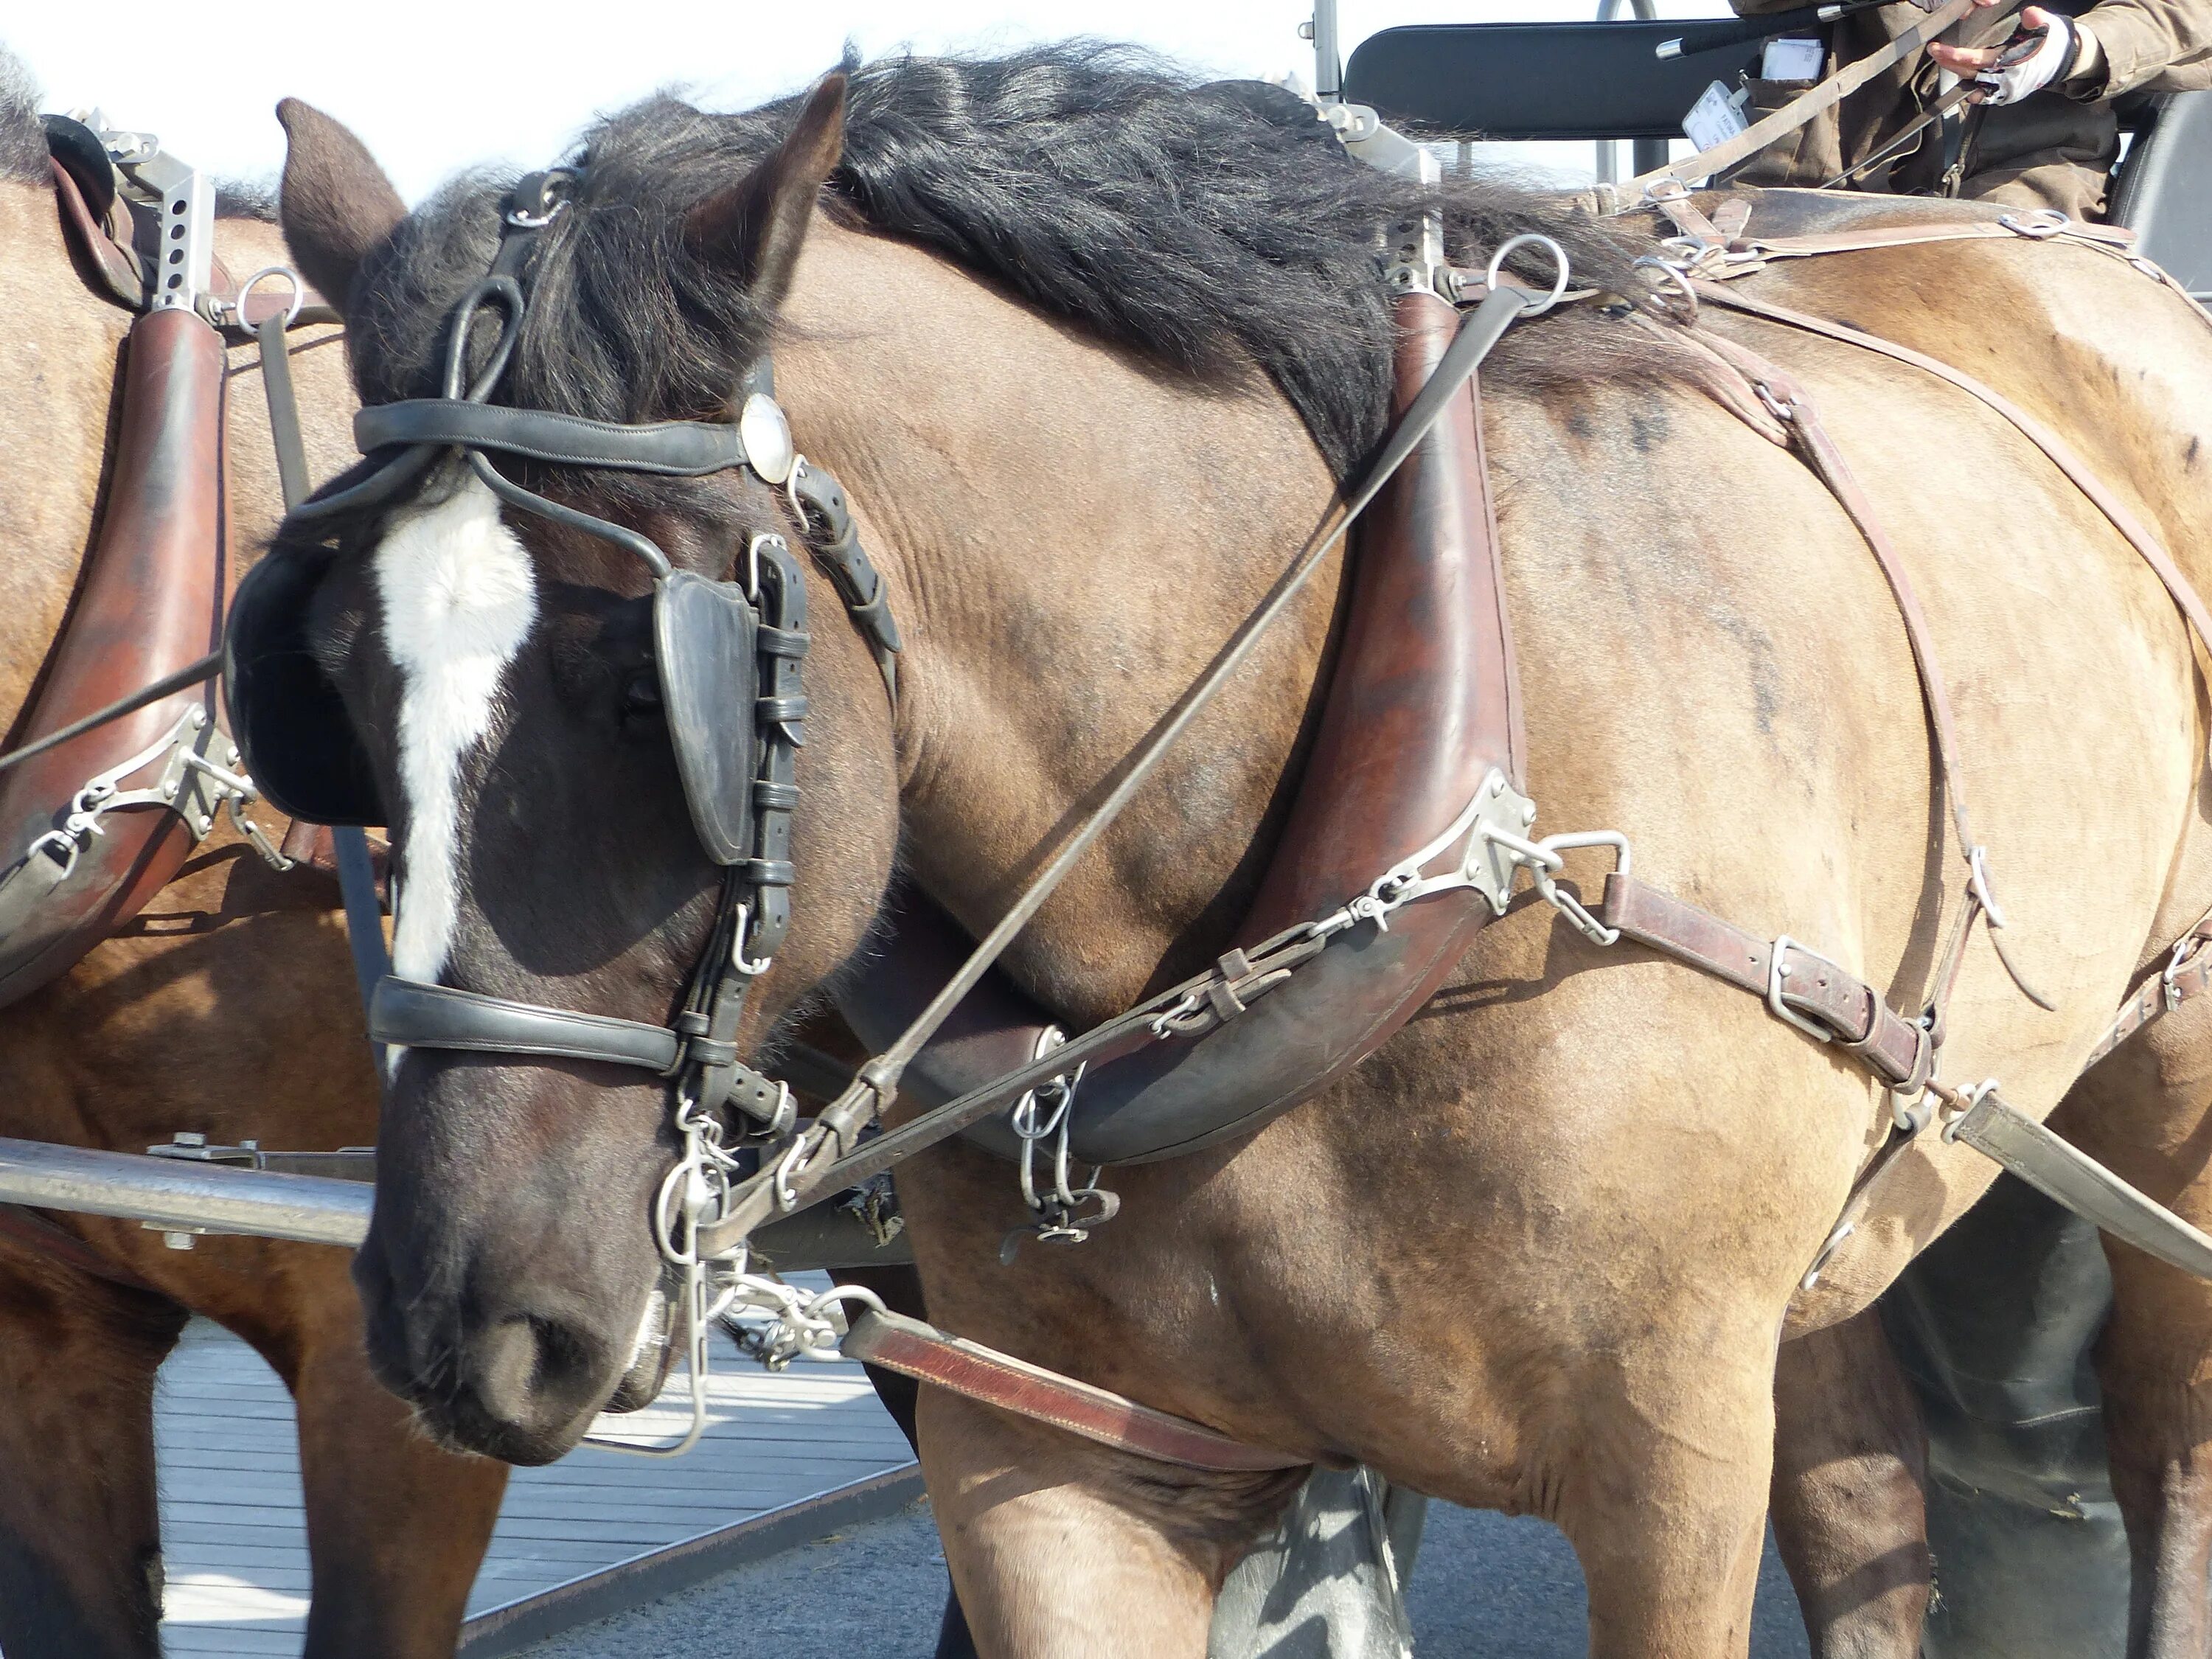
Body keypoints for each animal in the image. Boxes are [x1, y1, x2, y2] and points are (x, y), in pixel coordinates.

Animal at [272, 45, 2212, 1659]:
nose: (455, 1321)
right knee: (1865, 1477)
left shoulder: (1668, 1466)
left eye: (642, 689)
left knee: (2161, 1437)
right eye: (334, 680)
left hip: (2165, 1081)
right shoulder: (1060, 1460)